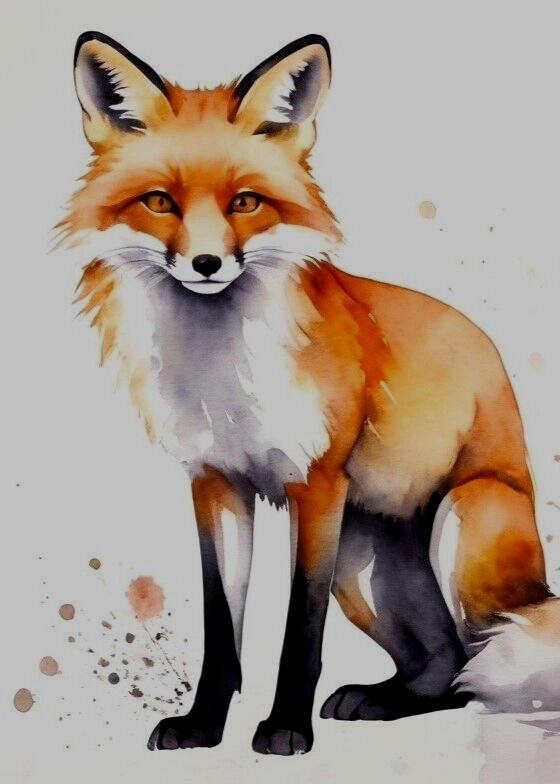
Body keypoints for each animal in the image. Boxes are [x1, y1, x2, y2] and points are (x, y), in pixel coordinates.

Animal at [61, 31, 560, 755]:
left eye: (245, 203)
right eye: (160, 202)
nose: (206, 265)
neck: (222, 372)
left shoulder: (318, 483)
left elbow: (301, 626)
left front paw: (285, 727)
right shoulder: (214, 482)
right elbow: (222, 630)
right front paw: (203, 725)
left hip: (460, 518)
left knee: (481, 662)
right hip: (363, 567)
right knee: (447, 668)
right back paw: (382, 699)